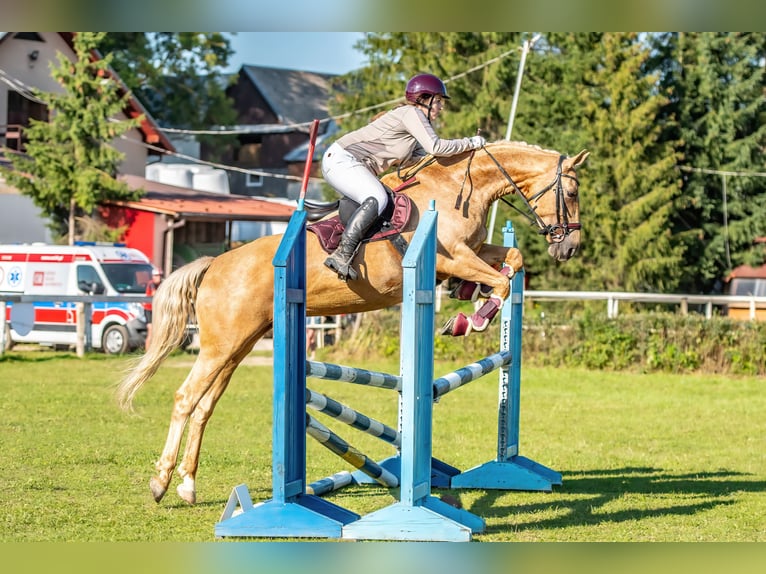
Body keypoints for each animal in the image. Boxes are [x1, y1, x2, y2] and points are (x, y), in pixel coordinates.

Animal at [117, 142, 592, 506]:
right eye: (571, 190)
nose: (568, 247)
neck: (458, 187)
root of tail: (214, 264)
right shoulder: (452, 257)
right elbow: (503, 281)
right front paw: (469, 321)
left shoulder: (470, 256)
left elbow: (512, 261)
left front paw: (466, 306)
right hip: (221, 345)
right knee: (185, 399)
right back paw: (160, 483)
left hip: (237, 347)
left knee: (204, 407)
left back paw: (188, 486)